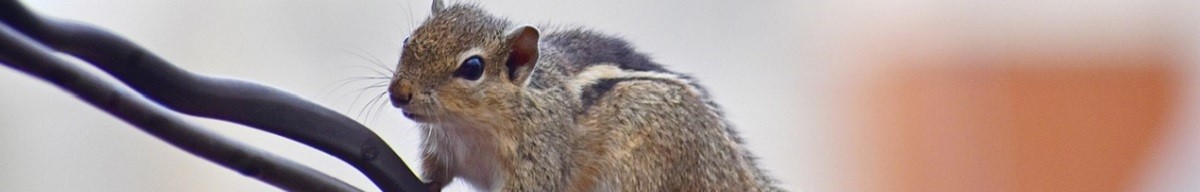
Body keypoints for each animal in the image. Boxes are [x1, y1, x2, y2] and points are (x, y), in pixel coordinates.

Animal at [384, 1, 777, 190]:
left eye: (473, 67)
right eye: (407, 40)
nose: (399, 94)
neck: (466, 127)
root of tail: (731, 171)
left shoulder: (538, 161)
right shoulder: (441, 151)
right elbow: (435, 178)